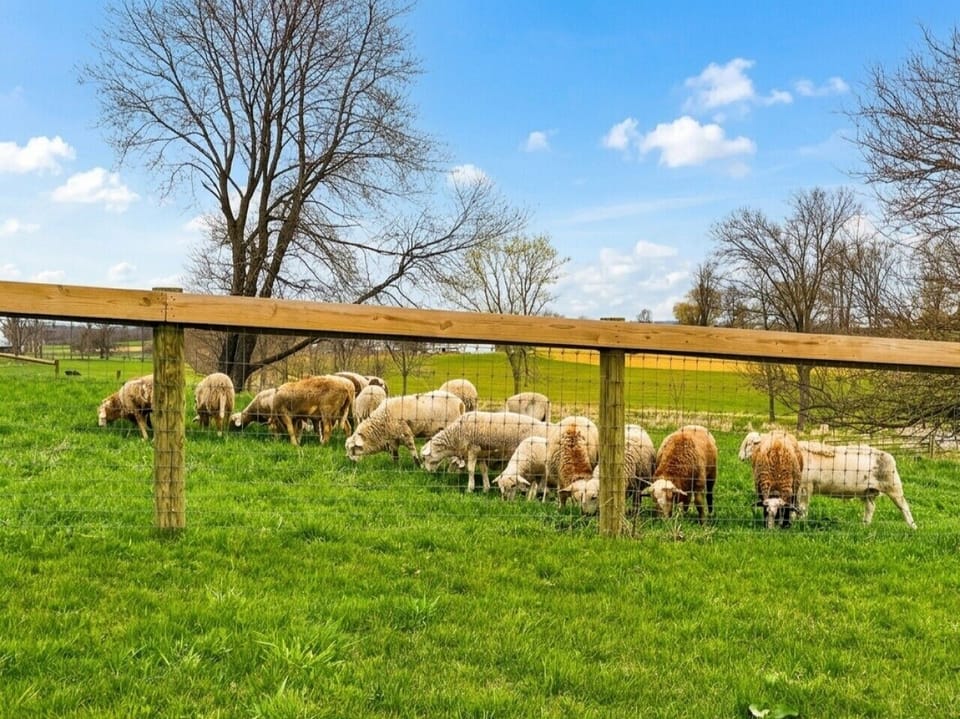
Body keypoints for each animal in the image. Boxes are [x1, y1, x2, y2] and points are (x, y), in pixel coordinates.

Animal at [420, 411, 549, 492]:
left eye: (424, 458)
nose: (428, 472)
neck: (456, 436)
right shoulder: (481, 454)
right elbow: (483, 470)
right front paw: (486, 488)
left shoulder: (473, 448)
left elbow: (471, 469)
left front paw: (470, 489)